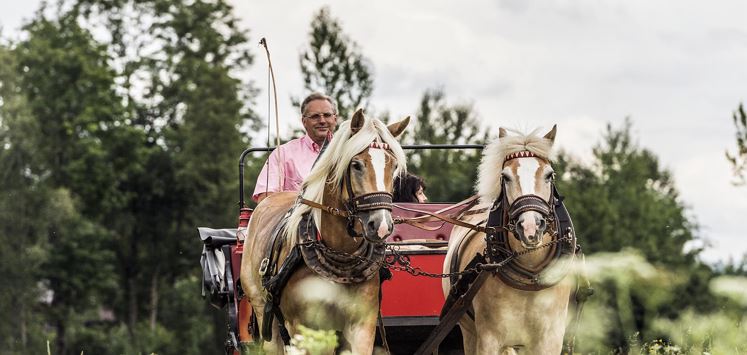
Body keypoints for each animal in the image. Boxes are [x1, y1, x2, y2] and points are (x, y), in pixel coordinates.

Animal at [241, 110, 410, 354]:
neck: (341, 254)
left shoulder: (362, 326)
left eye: (394, 166)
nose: (381, 225)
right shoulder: (306, 329)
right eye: (356, 165)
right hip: (264, 311)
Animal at [444, 126, 580, 355]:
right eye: (505, 177)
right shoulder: (489, 339)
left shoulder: (550, 340)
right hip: (469, 331)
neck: (531, 274)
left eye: (549, 175)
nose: (530, 228)